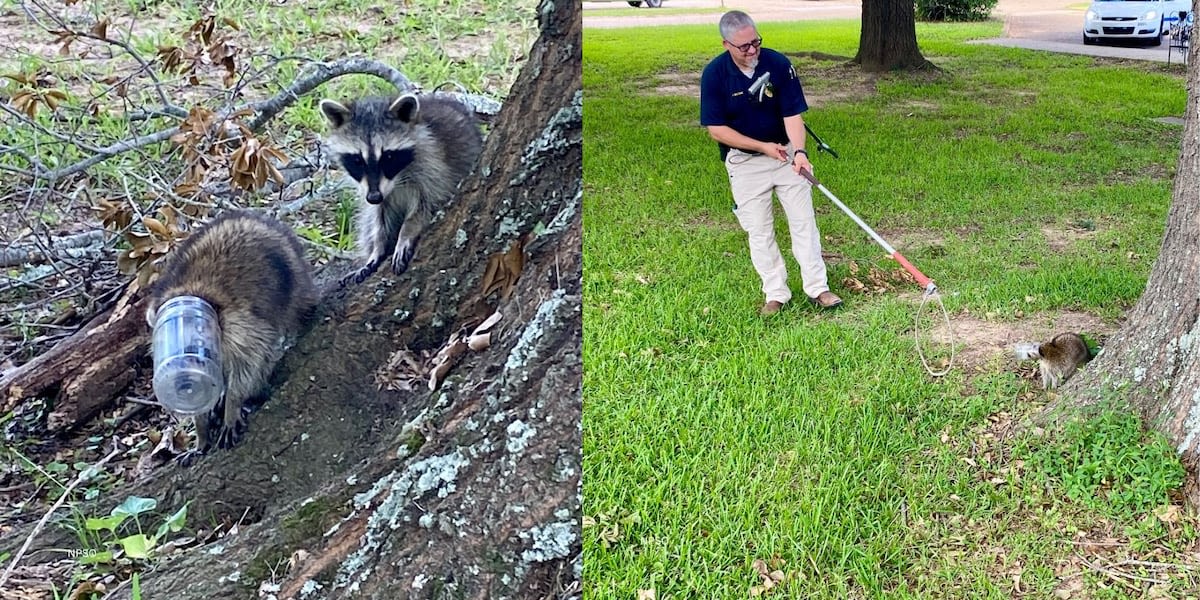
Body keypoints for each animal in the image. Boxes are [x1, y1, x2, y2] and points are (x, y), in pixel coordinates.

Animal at [145, 211, 319, 458]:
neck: (190, 295)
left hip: (293, 286)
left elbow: (250, 361)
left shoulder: (240, 327)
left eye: (196, 339)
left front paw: (232, 404)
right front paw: (201, 429)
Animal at [324, 91, 487, 285]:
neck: (397, 178)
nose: (374, 197)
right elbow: (379, 218)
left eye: (388, 157)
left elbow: (426, 207)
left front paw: (406, 234)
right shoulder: (374, 191)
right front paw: (378, 247)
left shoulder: (434, 168)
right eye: (357, 160)